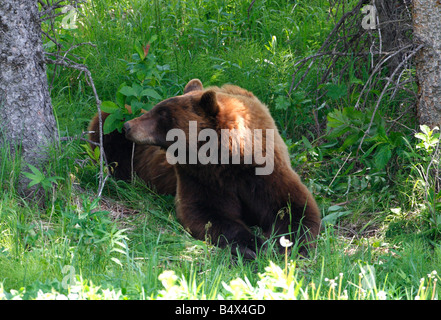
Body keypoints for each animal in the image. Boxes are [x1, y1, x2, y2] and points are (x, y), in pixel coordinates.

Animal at [124, 79, 320, 258]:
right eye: (156, 109)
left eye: (162, 114)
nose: (127, 126)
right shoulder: (200, 176)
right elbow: (208, 212)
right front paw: (252, 245)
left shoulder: (264, 171)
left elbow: (293, 208)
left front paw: (289, 244)